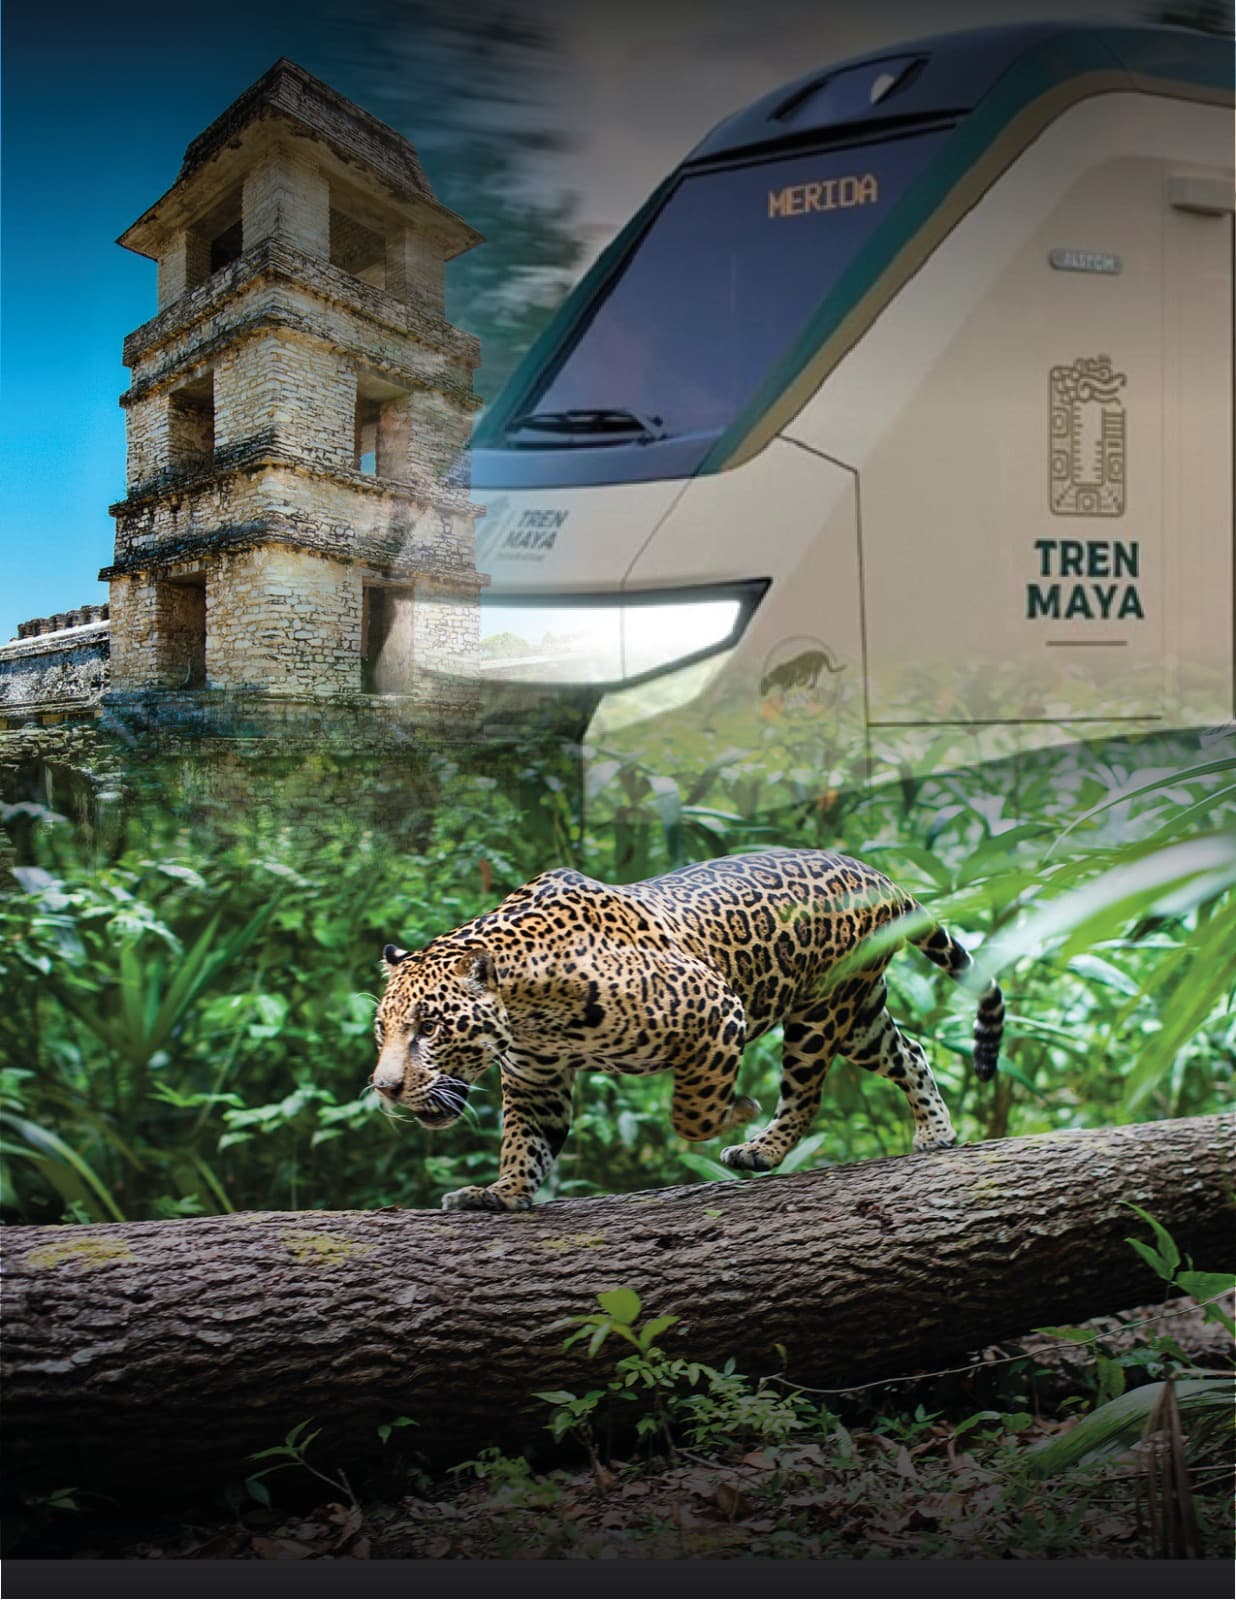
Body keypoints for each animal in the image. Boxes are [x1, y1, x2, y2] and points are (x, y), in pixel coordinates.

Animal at [371, 848, 1005, 1212]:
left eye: (429, 1028)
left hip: (820, 1012)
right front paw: (502, 1194)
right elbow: (525, 1141)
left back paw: (760, 1148)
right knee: (910, 1051)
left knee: (805, 1094)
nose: (386, 1088)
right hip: (859, 1015)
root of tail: (877, 875)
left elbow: (690, 1113)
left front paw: (735, 1109)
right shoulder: (536, 1079)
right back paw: (936, 1131)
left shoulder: (718, 1008)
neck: (532, 1007)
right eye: (383, 1031)